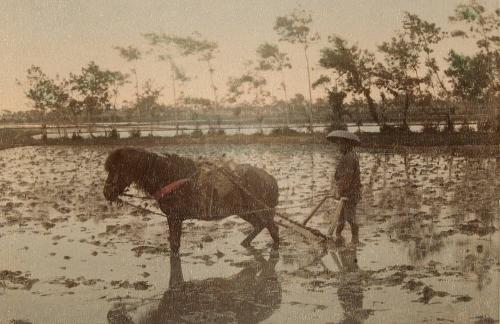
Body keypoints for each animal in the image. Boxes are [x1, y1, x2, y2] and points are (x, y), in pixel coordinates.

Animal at [103, 147, 280, 256]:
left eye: (117, 169)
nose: (106, 193)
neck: (169, 177)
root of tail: (271, 179)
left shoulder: (174, 218)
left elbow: (174, 245)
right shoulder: (174, 218)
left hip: (261, 211)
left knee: (273, 228)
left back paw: (274, 251)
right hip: (246, 212)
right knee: (260, 225)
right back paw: (246, 244)